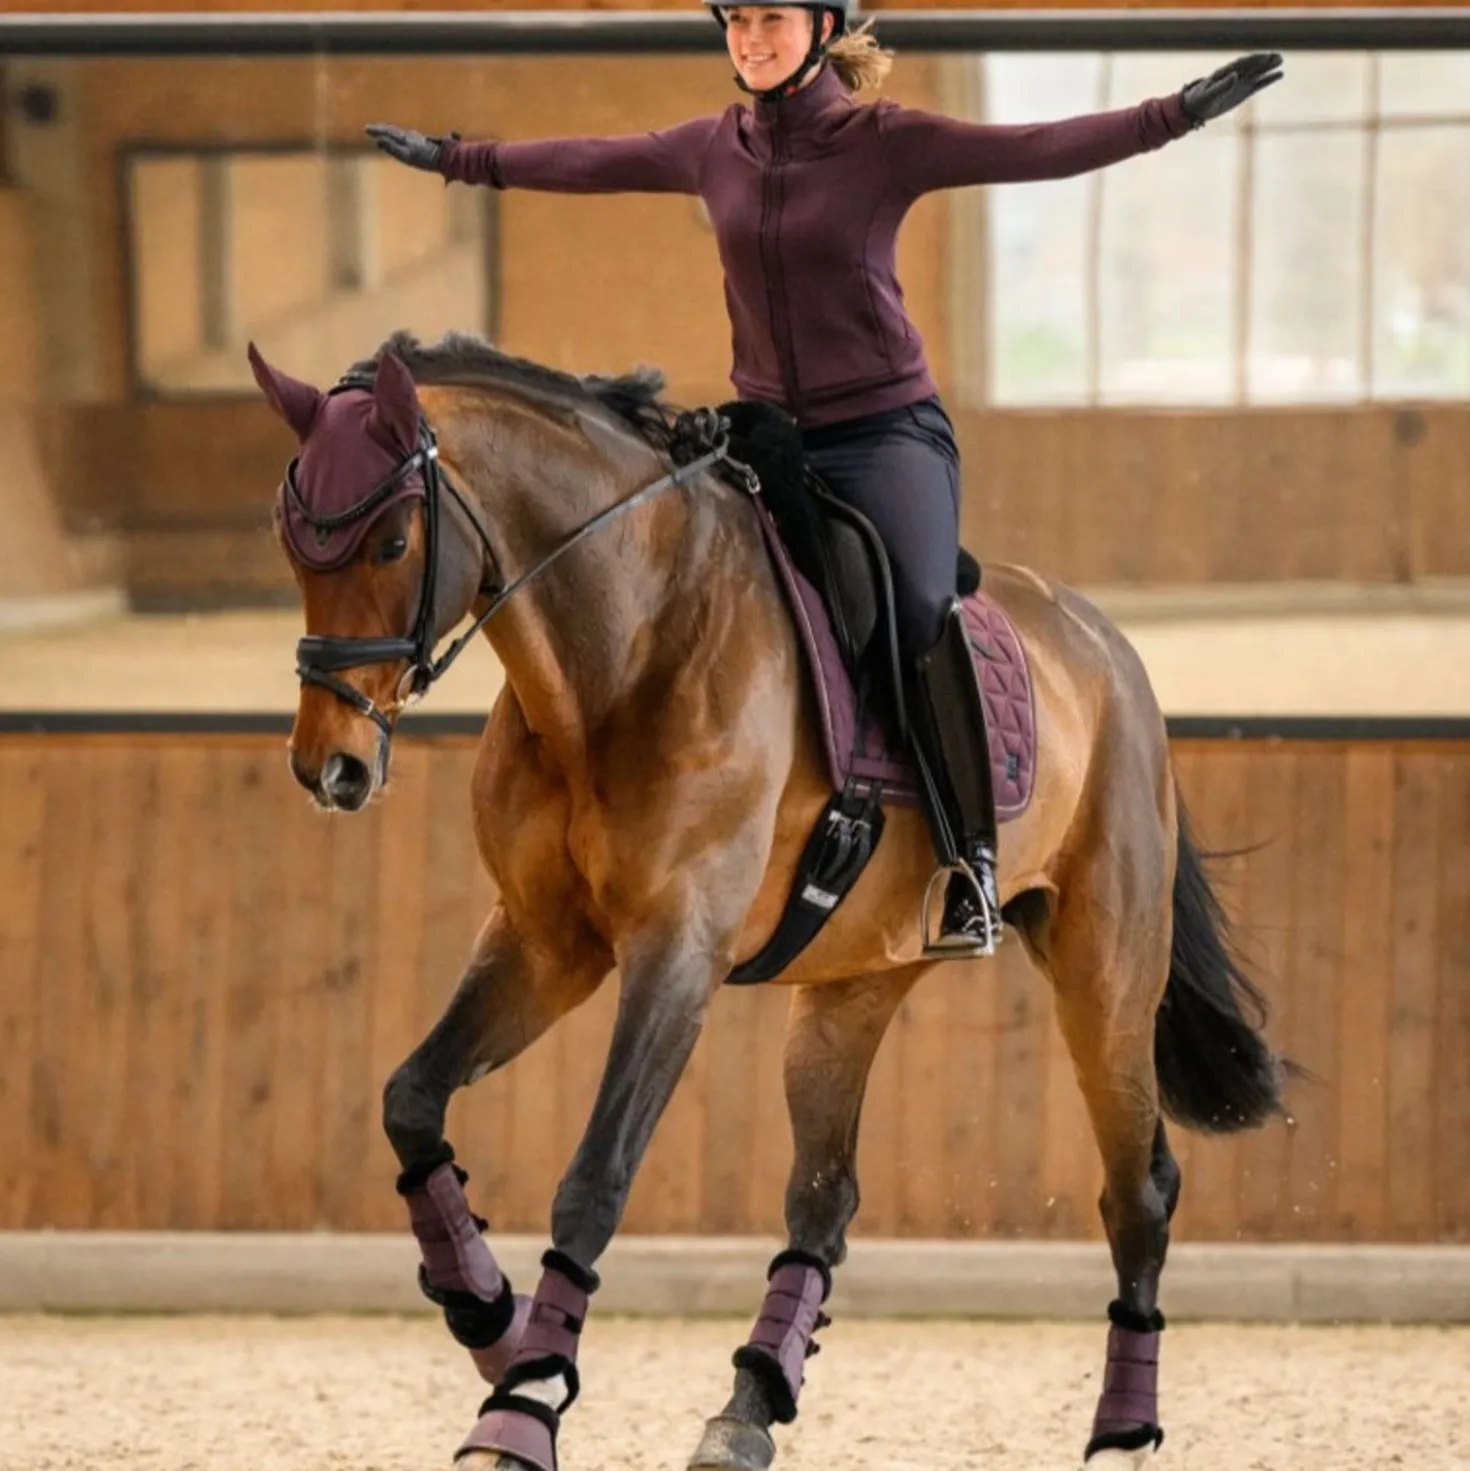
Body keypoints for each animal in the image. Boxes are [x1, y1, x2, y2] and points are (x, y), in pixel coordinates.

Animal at [249, 328, 1289, 1471]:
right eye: (293, 547)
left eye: (392, 542)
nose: (330, 767)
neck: (625, 644)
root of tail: (1110, 647)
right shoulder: (544, 939)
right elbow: (411, 1099)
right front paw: (489, 1315)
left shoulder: (677, 952)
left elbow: (596, 1176)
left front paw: (522, 1404)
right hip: (853, 983)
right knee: (825, 1194)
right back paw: (748, 1403)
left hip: (1106, 970)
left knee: (1137, 1191)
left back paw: (1121, 1432)